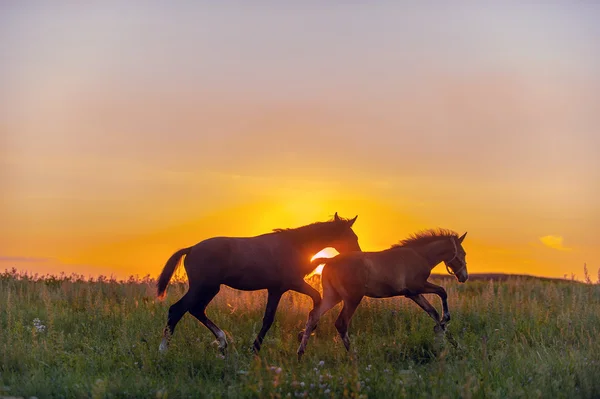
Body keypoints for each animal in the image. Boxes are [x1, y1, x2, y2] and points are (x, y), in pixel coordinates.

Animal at [156, 212, 360, 356]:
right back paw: (163, 350)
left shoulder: (276, 290)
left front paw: (255, 348)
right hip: (203, 287)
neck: (295, 245)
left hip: (210, 289)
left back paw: (222, 342)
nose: (359, 254)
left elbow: (268, 318)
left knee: (195, 310)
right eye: (353, 237)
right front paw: (303, 332)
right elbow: (316, 298)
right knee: (177, 310)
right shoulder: (293, 283)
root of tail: (191, 249)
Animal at [296, 227, 468, 360]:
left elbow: (432, 311)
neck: (419, 255)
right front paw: (445, 322)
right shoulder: (418, 286)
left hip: (333, 297)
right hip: (352, 299)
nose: (464, 277)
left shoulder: (413, 293)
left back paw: (300, 354)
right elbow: (442, 292)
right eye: (463, 253)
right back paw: (354, 357)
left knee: (313, 316)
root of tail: (329, 261)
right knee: (341, 323)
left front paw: (451, 340)